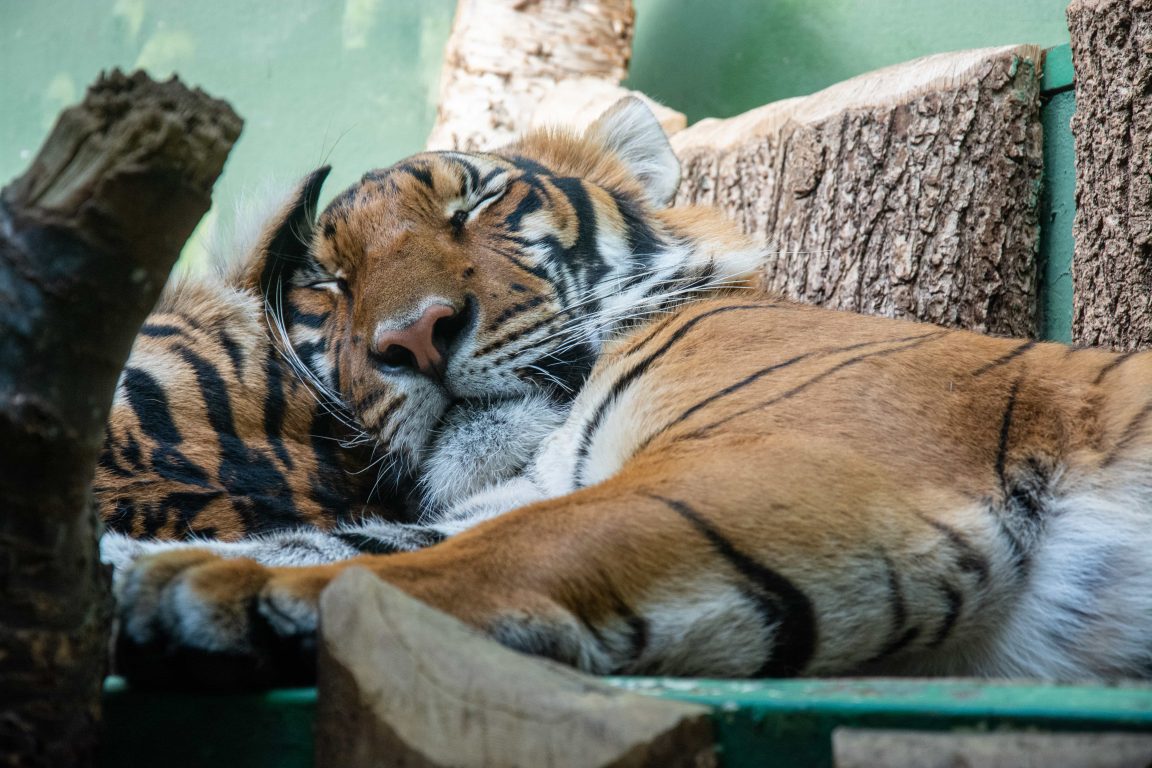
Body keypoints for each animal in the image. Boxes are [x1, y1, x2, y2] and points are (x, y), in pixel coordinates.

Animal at [112, 99, 1152, 686]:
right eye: (327, 283)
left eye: (476, 202)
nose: (413, 335)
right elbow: (340, 538)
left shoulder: (791, 461)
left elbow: (470, 555)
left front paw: (208, 588)